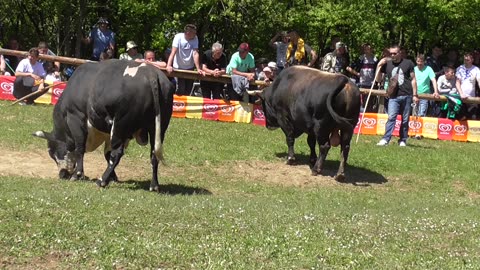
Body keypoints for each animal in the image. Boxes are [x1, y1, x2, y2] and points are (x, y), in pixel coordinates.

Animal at [32, 59, 174, 190]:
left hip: (120, 126)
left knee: (117, 153)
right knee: (153, 154)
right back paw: (154, 185)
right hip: (157, 128)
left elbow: (80, 148)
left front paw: (77, 175)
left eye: (53, 153)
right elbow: (106, 153)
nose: (63, 174)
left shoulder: (76, 118)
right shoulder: (107, 132)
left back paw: (102, 181)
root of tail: (151, 73)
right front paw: (113, 177)